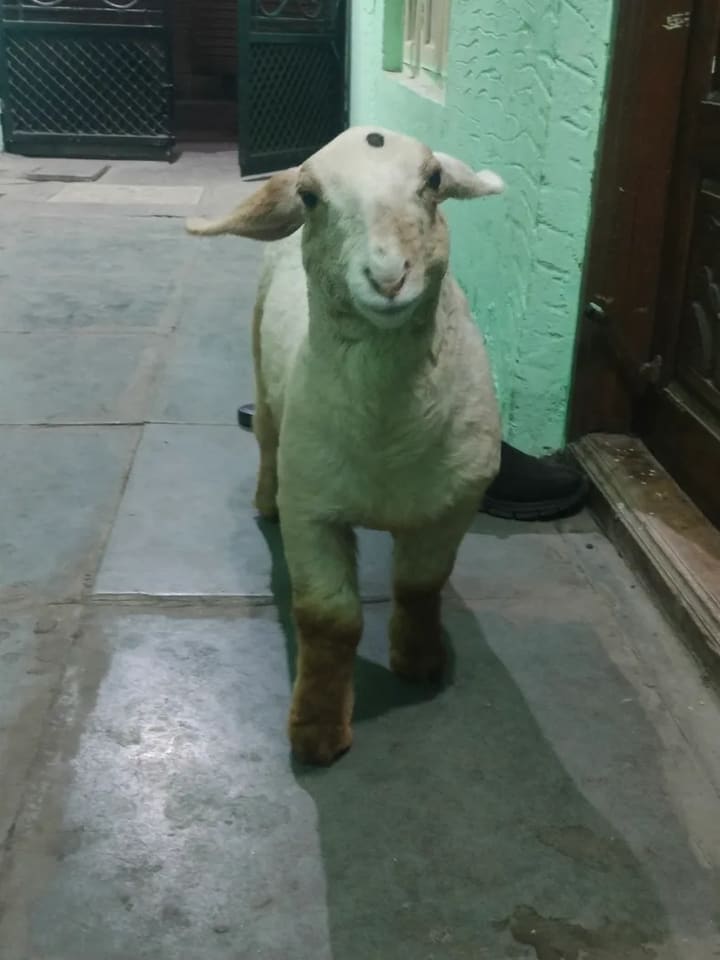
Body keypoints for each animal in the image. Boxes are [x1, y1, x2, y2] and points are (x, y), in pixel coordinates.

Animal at [186, 126, 504, 765]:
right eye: (310, 197)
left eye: (434, 181)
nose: (388, 278)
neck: (388, 441)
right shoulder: (313, 509)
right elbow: (328, 621)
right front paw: (316, 728)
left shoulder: (453, 505)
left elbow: (420, 587)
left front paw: (419, 661)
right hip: (262, 371)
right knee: (266, 440)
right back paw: (264, 500)